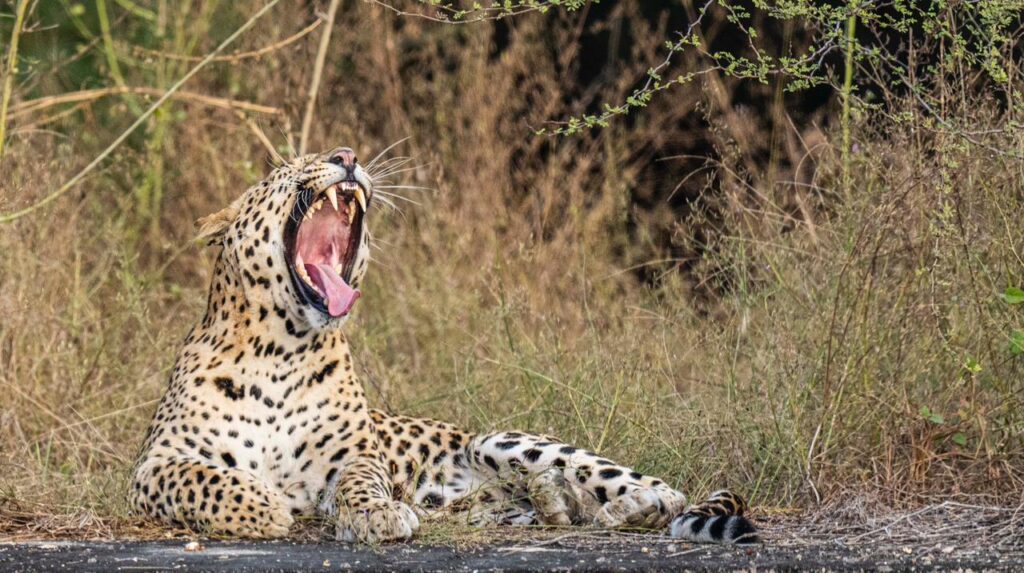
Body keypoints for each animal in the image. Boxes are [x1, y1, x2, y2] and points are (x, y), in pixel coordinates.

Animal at [129, 146, 758, 545]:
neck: (281, 348)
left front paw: (379, 515)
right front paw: (264, 507)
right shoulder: (153, 465)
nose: (347, 156)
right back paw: (553, 501)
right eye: (288, 168)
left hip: (501, 439)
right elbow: (204, 479)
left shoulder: (355, 454)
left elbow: (362, 482)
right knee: (546, 508)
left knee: (660, 489)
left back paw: (622, 505)